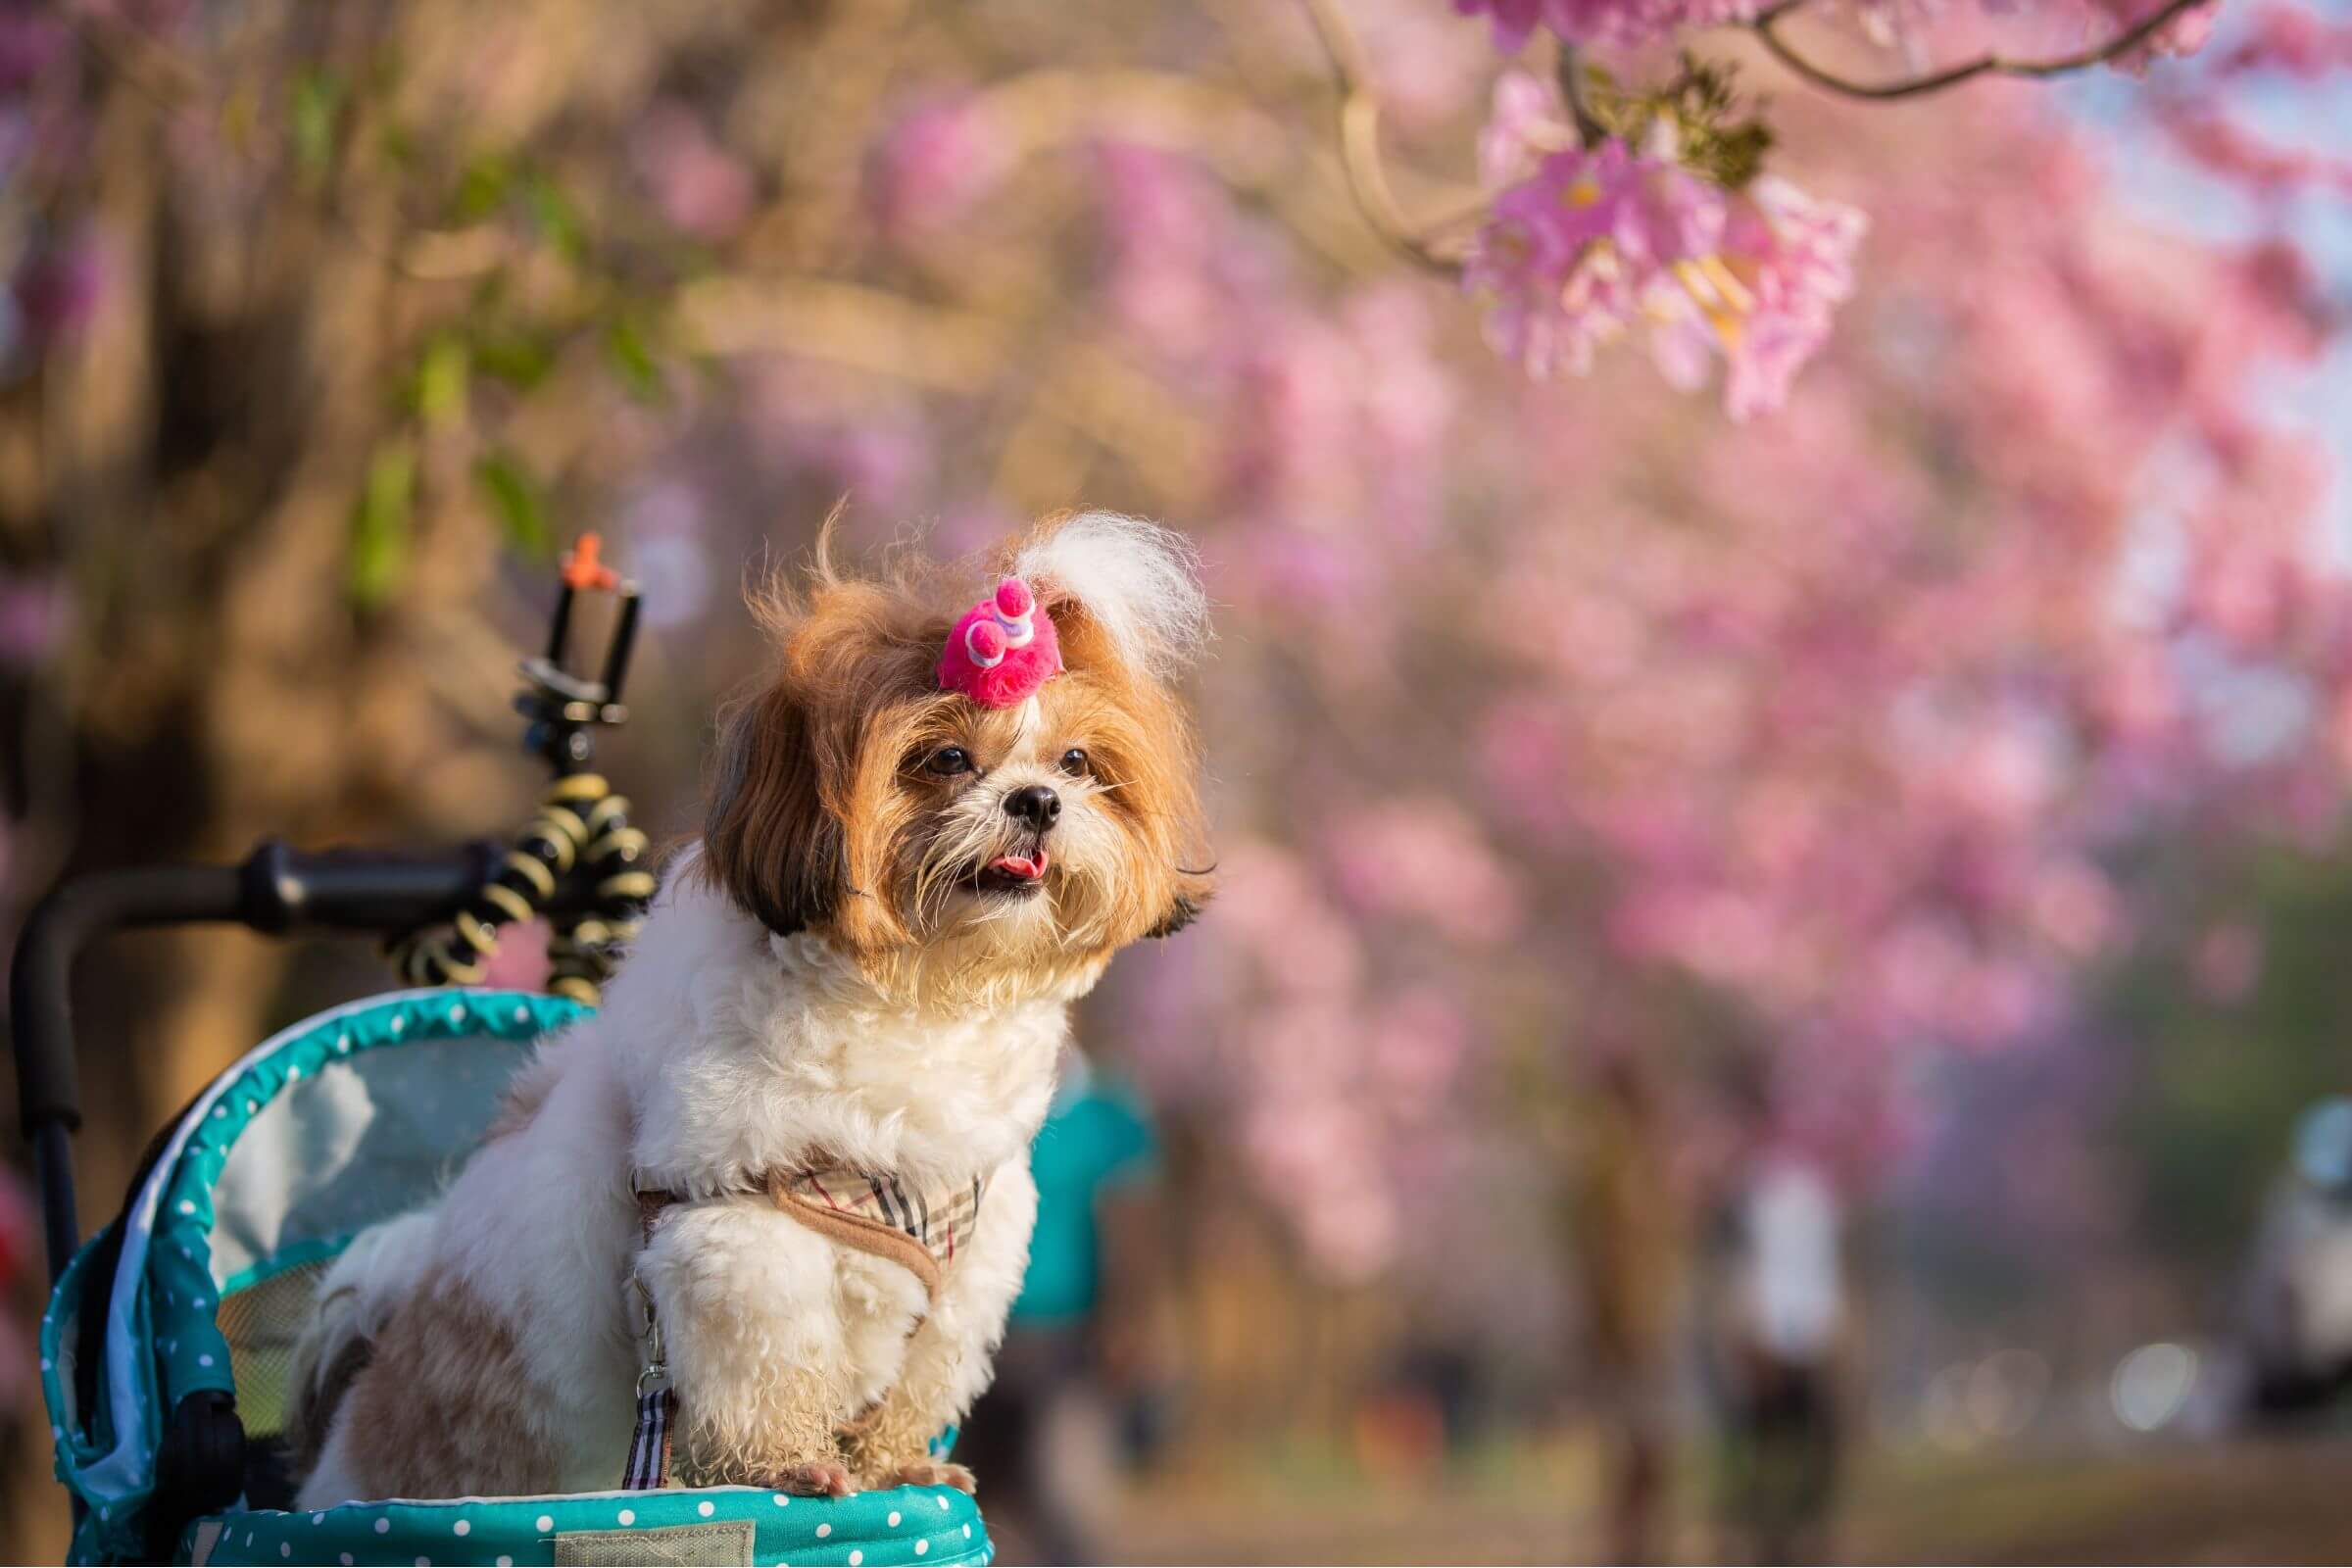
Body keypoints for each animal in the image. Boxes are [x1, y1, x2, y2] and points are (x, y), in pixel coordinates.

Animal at [294, 514, 1213, 1504]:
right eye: (946, 759)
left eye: (1077, 762)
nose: (1037, 800)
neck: (919, 998)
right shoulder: (733, 1225)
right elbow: (769, 1363)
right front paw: (789, 1463)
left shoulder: (975, 1253)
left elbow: (922, 1377)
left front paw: (894, 1465)